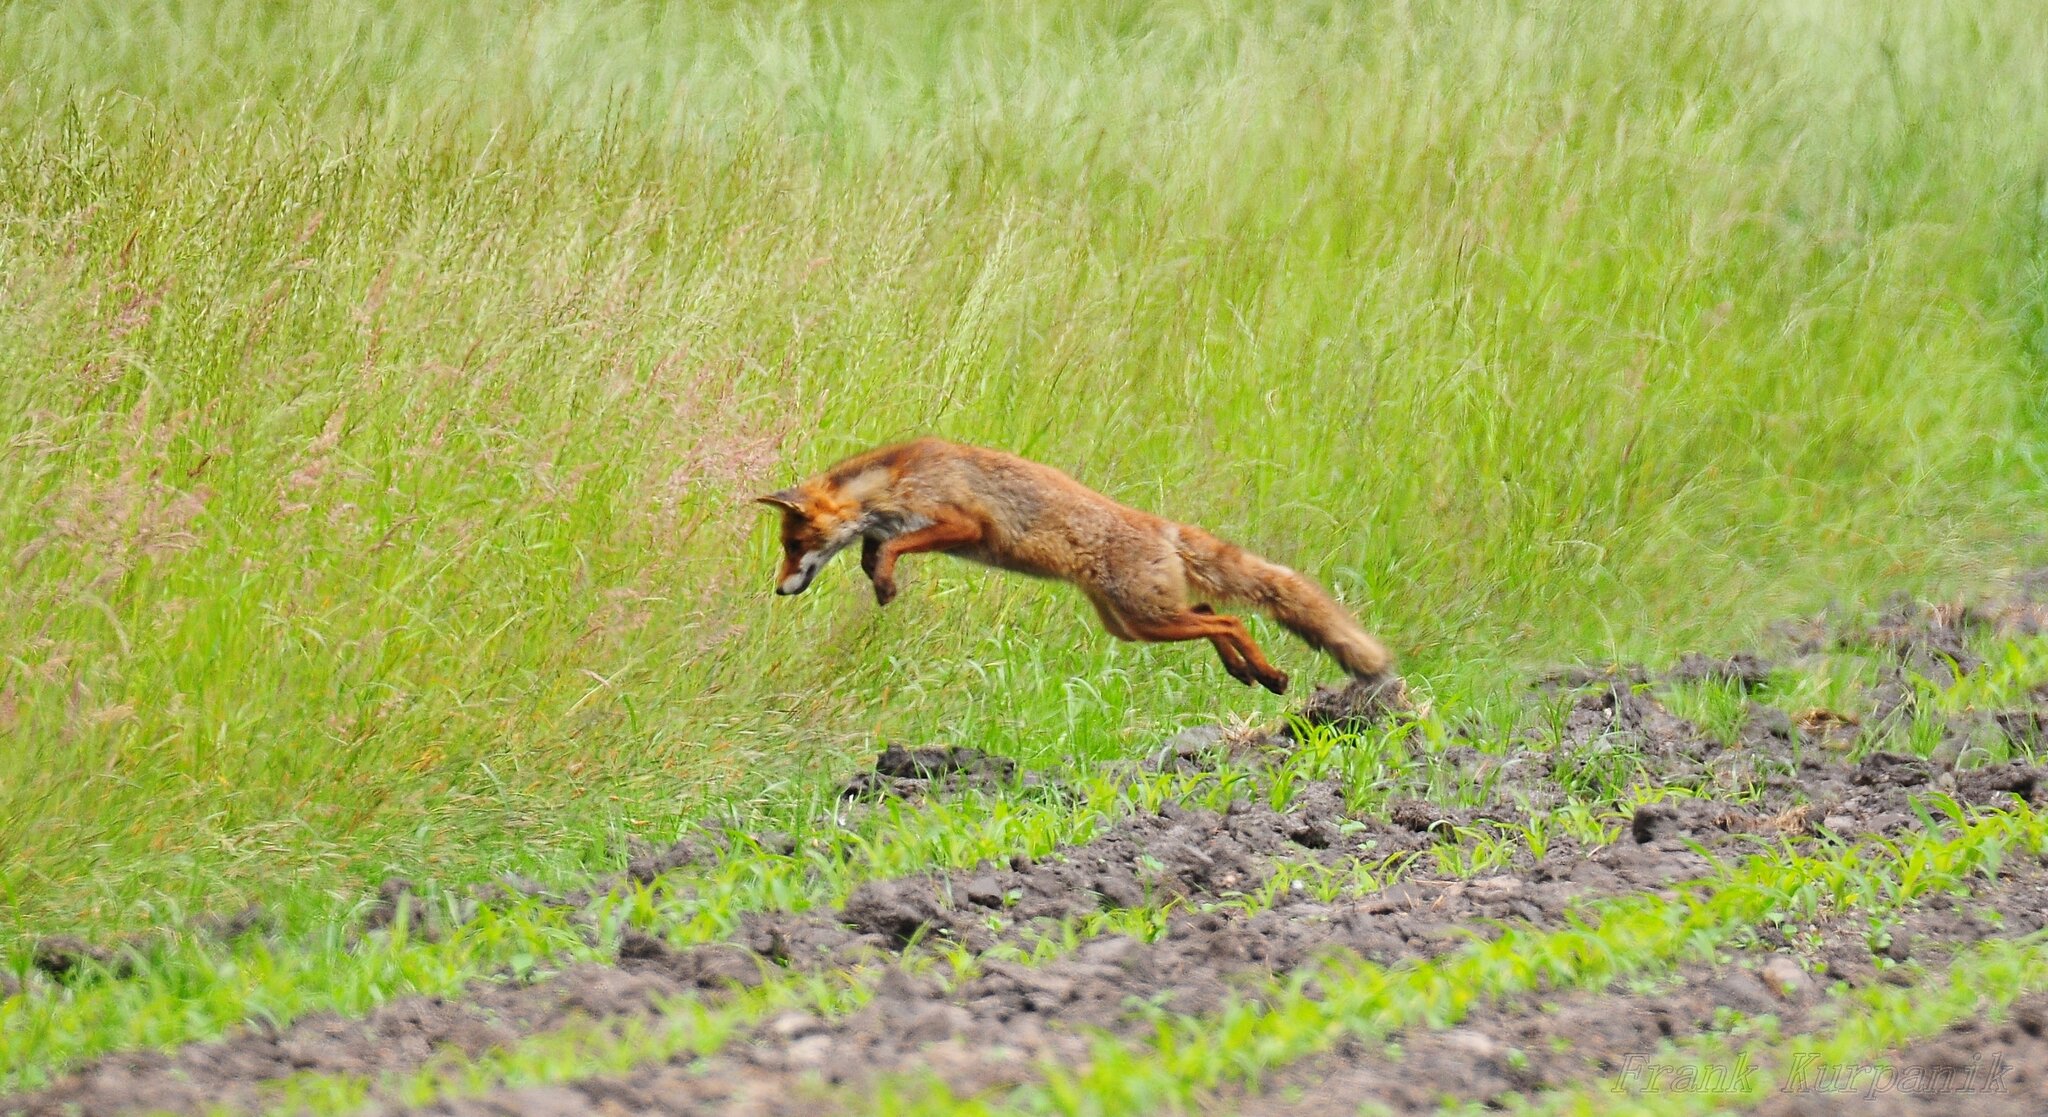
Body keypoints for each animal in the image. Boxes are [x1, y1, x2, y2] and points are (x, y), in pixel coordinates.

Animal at [754, 438, 1391, 694]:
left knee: (1229, 619)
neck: (897, 480)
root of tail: (1162, 528)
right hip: (1136, 626)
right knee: (1213, 610)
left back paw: (1266, 673)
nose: (781, 591)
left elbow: (888, 549)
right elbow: (874, 552)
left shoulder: (966, 525)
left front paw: (885, 584)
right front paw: (881, 583)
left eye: (793, 544)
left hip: (1146, 618)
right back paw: (1246, 673)